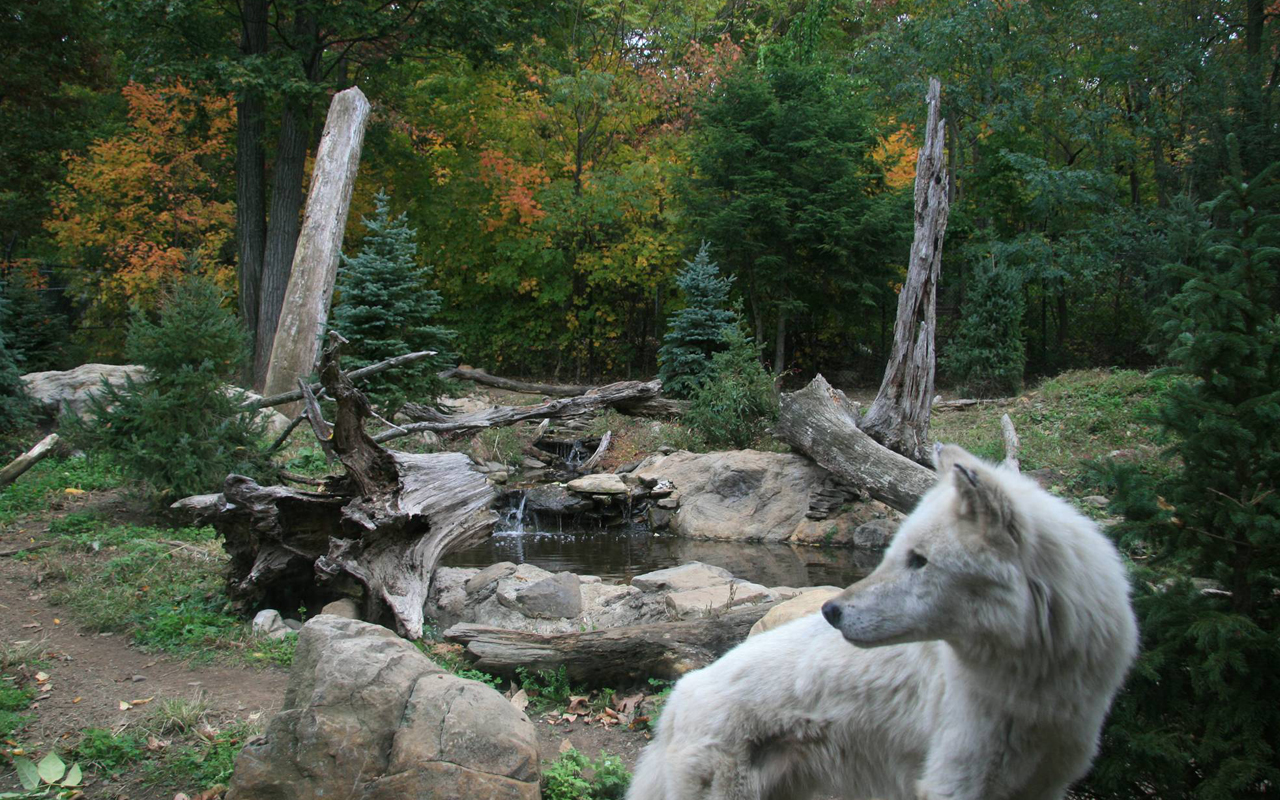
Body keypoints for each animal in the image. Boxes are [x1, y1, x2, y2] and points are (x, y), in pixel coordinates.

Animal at [624, 442, 1136, 798]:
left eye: (919, 561)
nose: (831, 611)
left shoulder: (1044, 782)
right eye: (897, 552)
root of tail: (677, 700)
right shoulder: (954, 781)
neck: (1034, 678)